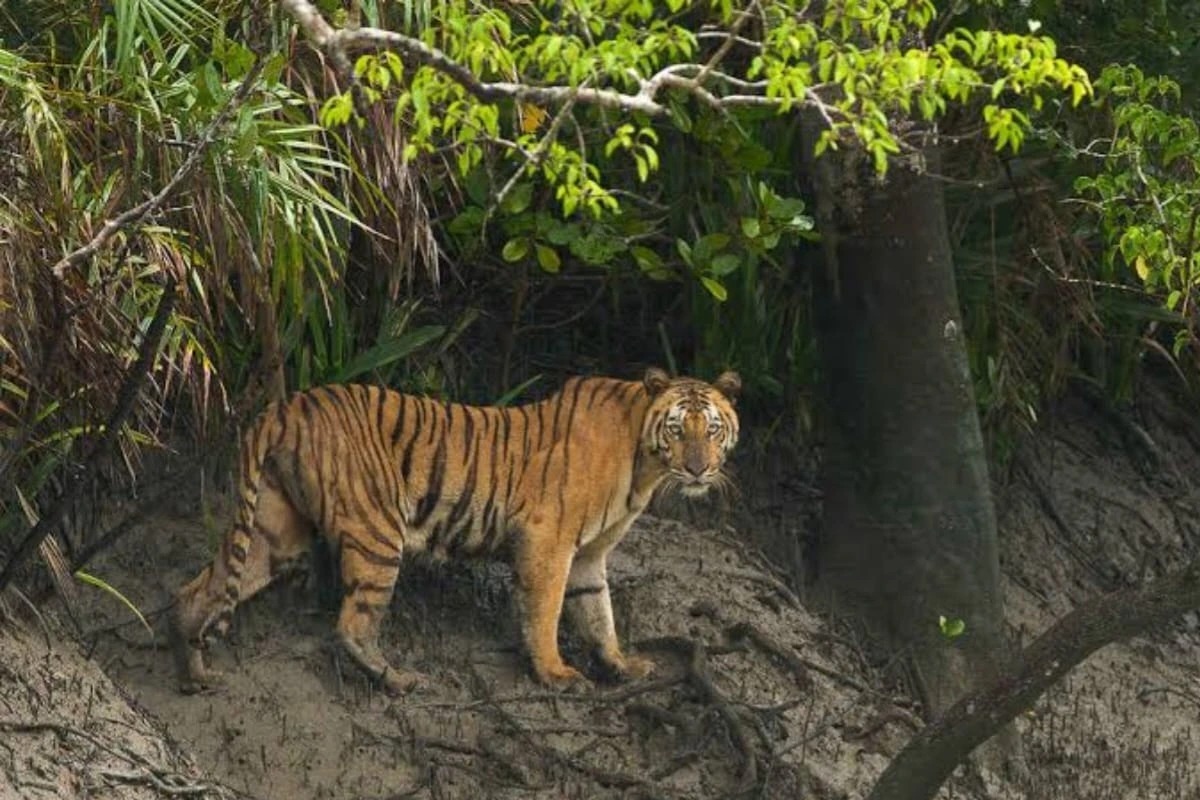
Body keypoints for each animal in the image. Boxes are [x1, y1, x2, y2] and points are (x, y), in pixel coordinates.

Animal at [170, 367, 741, 695]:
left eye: (713, 429)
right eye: (678, 428)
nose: (698, 469)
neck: (645, 464)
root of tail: (288, 405)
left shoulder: (588, 556)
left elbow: (599, 612)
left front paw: (622, 665)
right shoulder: (549, 541)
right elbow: (547, 611)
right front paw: (555, 674)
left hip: (275, 530)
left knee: (198, 590)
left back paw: (193, 674)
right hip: (378, 532)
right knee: (352, 625)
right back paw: (399, 680)